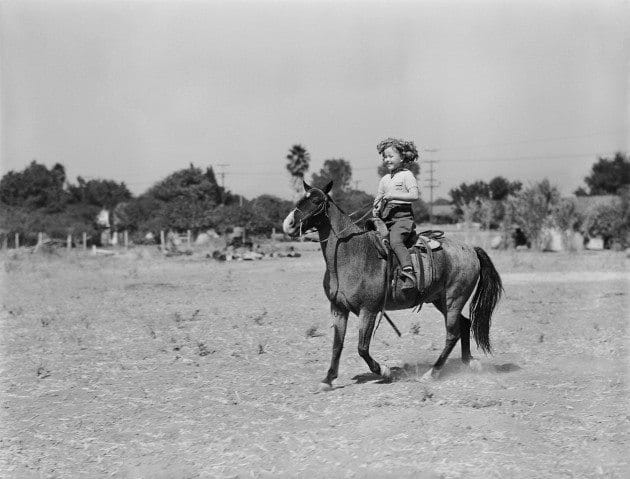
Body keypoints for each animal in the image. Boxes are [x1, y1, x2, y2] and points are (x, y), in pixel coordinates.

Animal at [284, 182, 506, 392]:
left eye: (315, 201)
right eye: (300, 199)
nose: (289, 224)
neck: (351, 255)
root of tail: (471, 249)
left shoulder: (369, 310)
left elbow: (362, 348)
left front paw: (384, 371)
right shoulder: (338, 308)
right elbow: (337, 345)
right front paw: (328, 380)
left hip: (454, 299)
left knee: (452, 334)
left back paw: (432, 373)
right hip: (441, 300)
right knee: (465, 324)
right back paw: (469, 362)